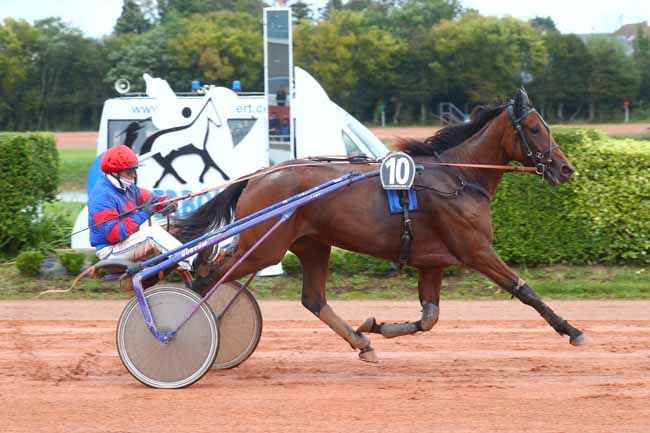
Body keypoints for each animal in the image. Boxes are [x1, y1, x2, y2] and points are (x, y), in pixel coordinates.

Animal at [173, 88, 588, 362]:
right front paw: (572, 331)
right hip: (265, 248)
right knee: (207, 281)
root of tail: (259, 175)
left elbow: (429, 319)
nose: (566, 168)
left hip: (311, 244)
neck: (457, 177)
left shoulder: (432, 262)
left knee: (312, 299)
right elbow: (525, 290)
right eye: (534, 128)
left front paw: (375, 327)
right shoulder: (475, 249)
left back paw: (362, 343)